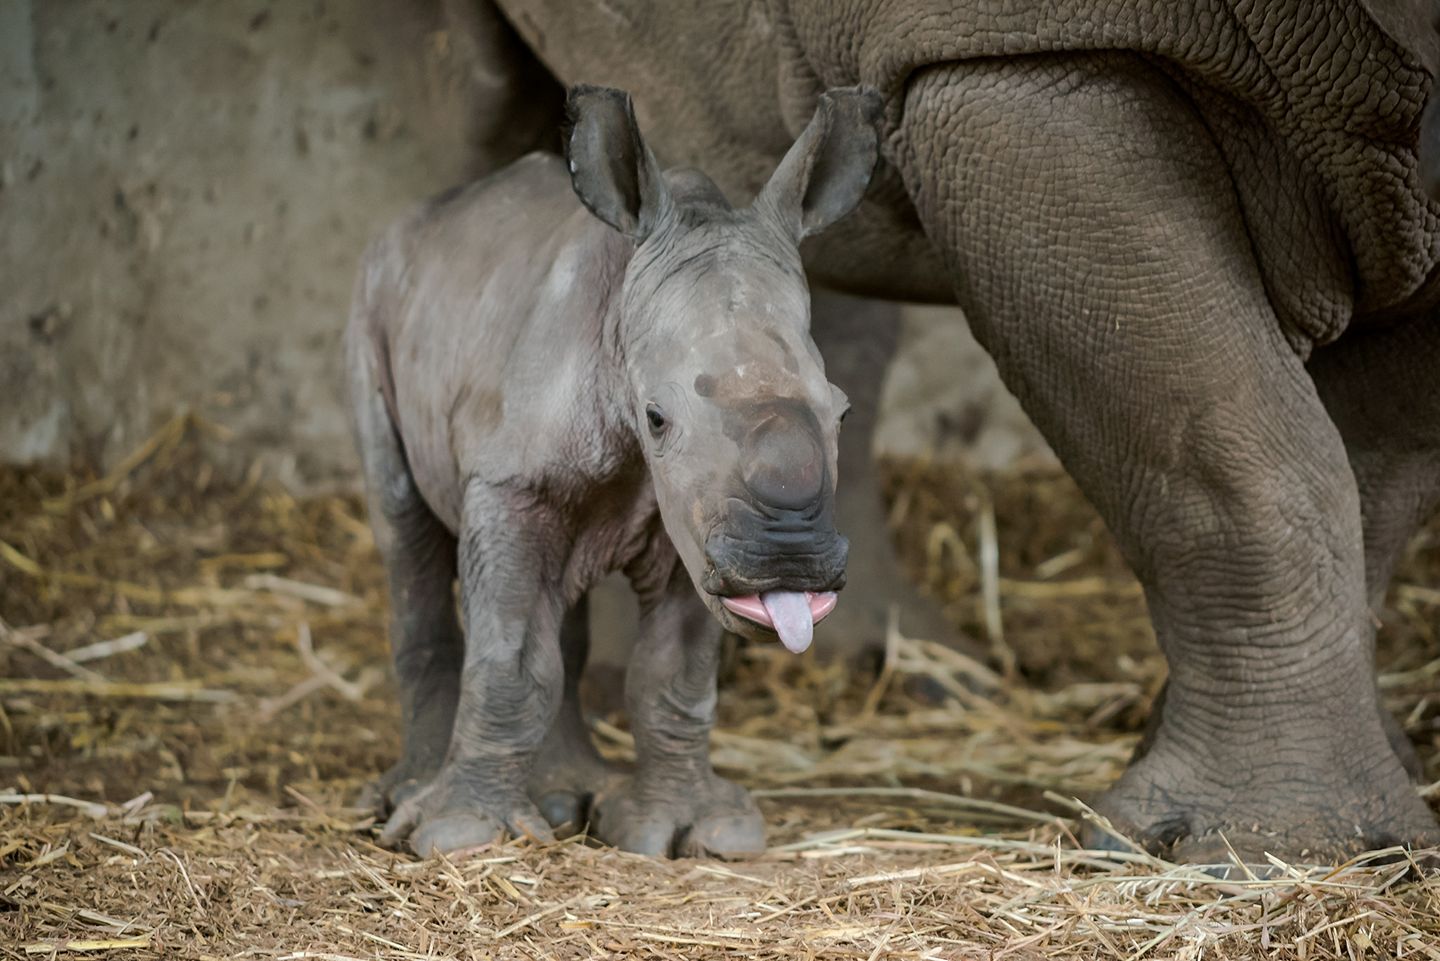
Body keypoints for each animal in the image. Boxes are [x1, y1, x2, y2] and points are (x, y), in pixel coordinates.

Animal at [348, 86, 887, 858]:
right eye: (655, 417)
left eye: (843, 413)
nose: (788, 559)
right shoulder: (512, 482)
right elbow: (509, 655)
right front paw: (460, 835)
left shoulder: (697, 520)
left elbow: (671, 673)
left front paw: (696, 832)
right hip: (372, 300)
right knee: (404, 530)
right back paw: (410, 798)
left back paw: (567, 796)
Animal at [434, 0, 1440, 858]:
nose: (783, 564)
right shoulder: (1015, 53)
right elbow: (1234, 445)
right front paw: (1255, 850)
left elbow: (1370, 471)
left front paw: (1367, 816)